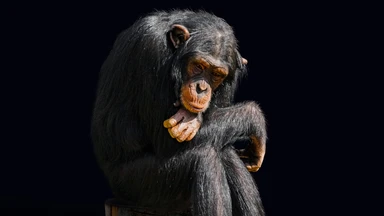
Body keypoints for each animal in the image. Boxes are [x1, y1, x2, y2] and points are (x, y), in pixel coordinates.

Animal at [92, 9, 268, 215]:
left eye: (216, 75)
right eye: (198, 66)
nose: (201, 88)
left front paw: (192, 120)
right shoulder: (151, 49)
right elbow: (165, 142)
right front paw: (255, 117)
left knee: (225, 152)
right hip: (137, 186)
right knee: (205, 158)